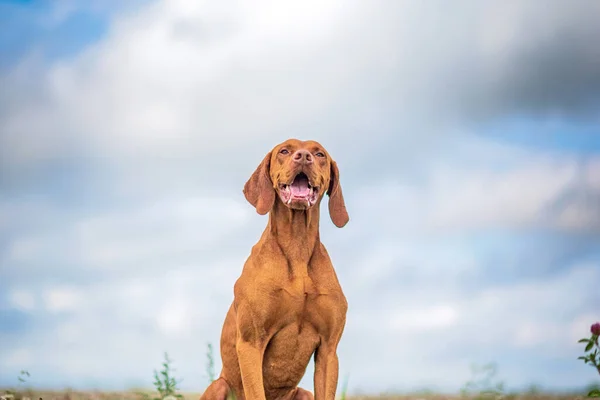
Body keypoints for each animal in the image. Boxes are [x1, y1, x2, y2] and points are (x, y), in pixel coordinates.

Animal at [200, 138, 350, 400]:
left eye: (319, 154)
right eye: (285, 150)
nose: (303, 156)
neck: (297, 247)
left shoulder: (329, 350)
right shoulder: (251, 343)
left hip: (303, 392)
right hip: (219, 385)